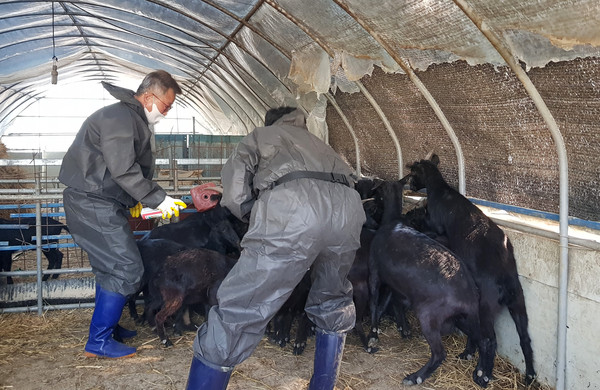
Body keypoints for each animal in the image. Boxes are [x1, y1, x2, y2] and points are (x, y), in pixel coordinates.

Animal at [406, 152, 536, 384]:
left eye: (413, 172)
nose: (410, 184)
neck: (441, 191)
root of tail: (505, 278)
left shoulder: (441, 233)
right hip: (518, 304)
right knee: (524, 339)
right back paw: (529, 375)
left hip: (486, 308)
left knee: (489, 339)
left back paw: (482, 374)